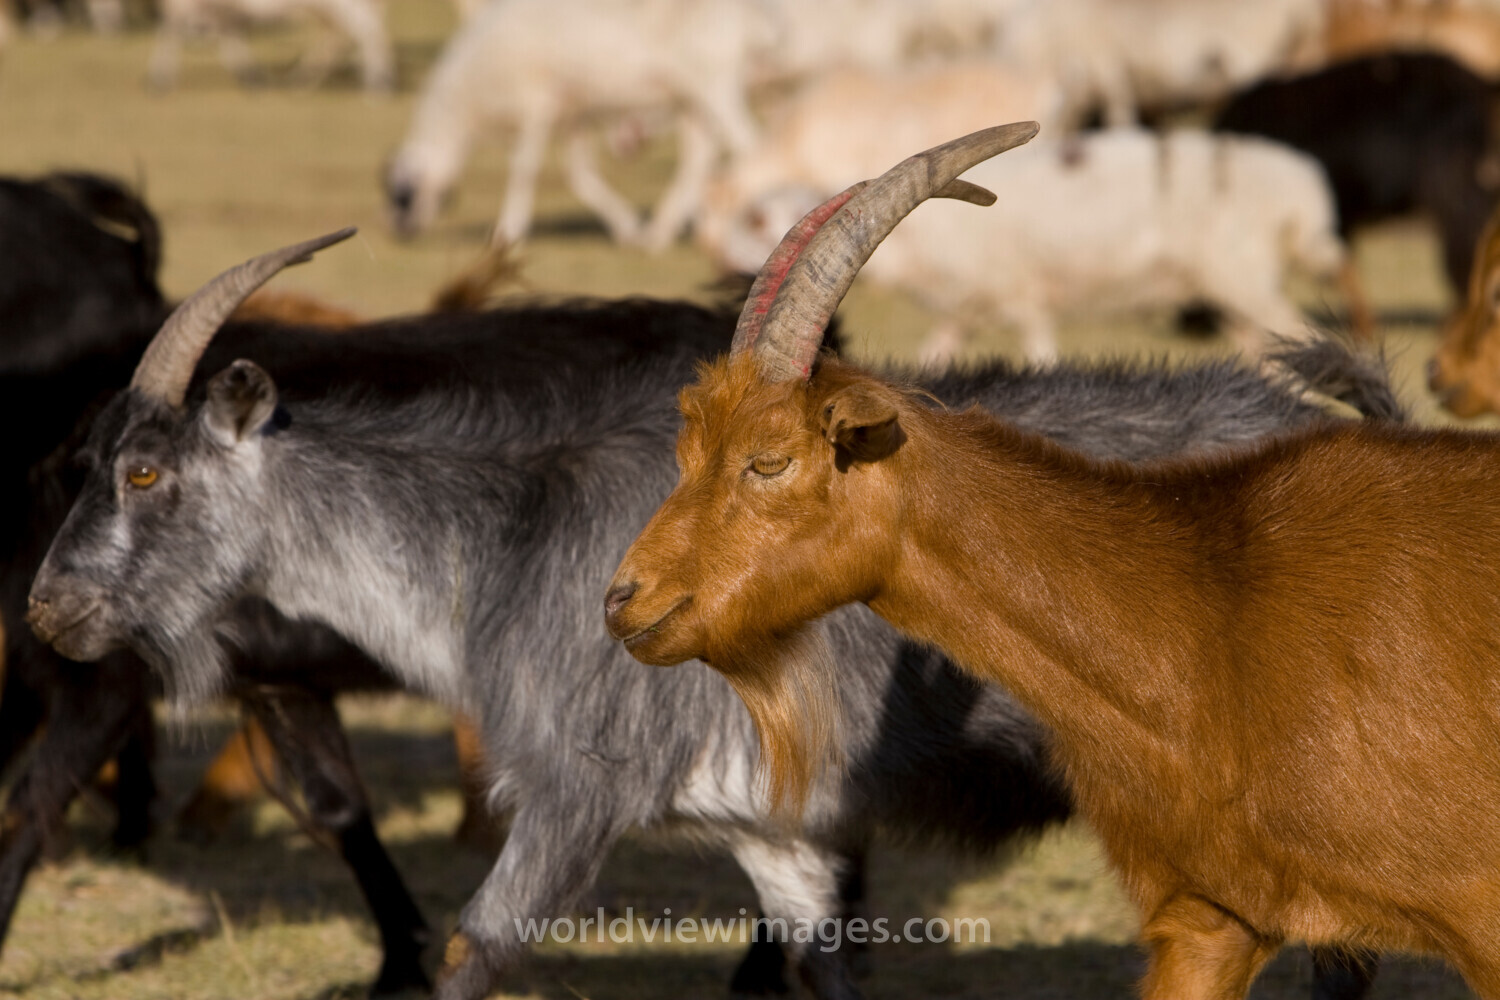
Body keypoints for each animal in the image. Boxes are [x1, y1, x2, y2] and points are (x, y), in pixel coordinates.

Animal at [25, 220, 1402, 999]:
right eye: (80, 460)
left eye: (144, 472)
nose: (49, 609)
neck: (501, 542)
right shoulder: (776, 831)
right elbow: (821, 964)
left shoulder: (573, 796)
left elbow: (473, 955)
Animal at [146, 0, 394, 93]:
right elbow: (228, 37)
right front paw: (252, 76)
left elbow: (168, 33)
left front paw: (158, 80)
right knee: (348, 37)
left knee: (369, 32)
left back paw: (378, 84)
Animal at [705, 121, 1342, 362]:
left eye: (758, 220)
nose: (716, 262)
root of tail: (1301, 189)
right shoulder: (962, 309)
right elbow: (936, 354)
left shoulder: (1019, 293)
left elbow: (1039, 351)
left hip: (1244, 277)